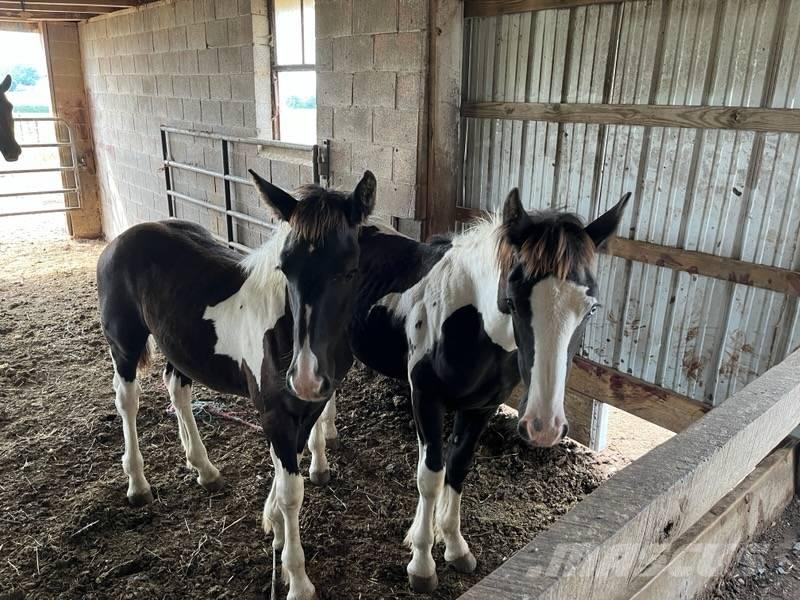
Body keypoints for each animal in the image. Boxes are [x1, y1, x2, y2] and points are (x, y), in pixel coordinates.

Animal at [97, 170, 376, 600]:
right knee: (127, 401)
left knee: (177, 389)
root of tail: (121, 239)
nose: (304, 377)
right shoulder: (275, 414)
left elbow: (287, 471)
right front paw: (296, 579)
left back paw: (204, 469)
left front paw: (273, 526)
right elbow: (292, 490)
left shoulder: (309, 410)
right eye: (285, 268)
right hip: (124, 345)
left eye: (348, 269)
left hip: (181, 348)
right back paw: (138, 484)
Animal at [309, 188, 629, 592]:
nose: (544, 427)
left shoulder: (482, 407)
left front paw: (454, 546)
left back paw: (331, 435)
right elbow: (430, 475)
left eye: (591, 308)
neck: (470, 323)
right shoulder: (425, 398)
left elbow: (458, 467)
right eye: (512, 300)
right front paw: (422, 563)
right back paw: (319, 465)